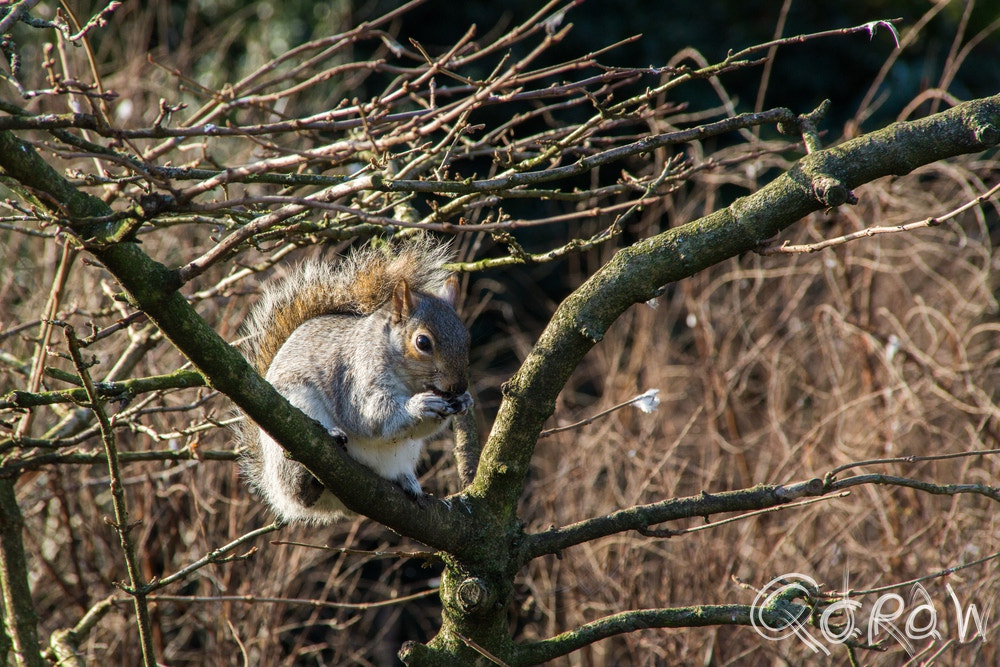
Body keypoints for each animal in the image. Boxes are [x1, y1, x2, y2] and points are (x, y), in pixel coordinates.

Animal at [242, 237, 476, 524]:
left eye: (467, 338)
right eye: (423, 342)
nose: (458, 387)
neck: (410, 383)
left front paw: (464, 401)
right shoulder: (356, 376)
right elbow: (372, 415)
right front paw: (421, 405)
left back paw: (406, 481)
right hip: (290, 425)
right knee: (298, 491)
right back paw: (310, 476)